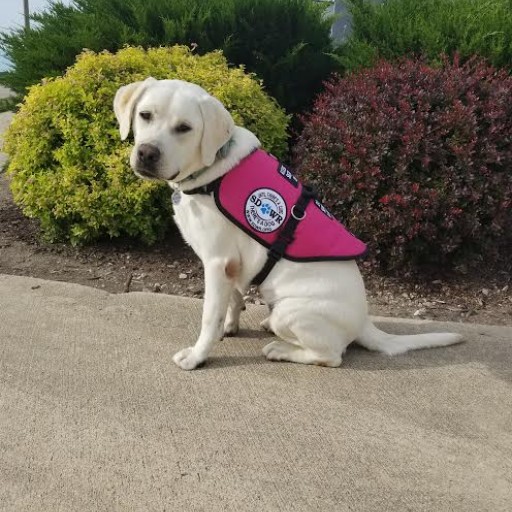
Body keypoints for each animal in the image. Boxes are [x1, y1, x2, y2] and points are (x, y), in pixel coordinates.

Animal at [113, 78, 464, 370]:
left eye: (184, 128)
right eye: (145, 115)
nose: (147, 153)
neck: (212, 172)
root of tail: (365, 321)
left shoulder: (216, 262)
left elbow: (208, 317)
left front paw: (198, 356)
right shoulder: (233, 265)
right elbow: (234, 299)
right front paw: (230, 326)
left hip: (290, 311)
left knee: (332, 356)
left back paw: (281, 350)